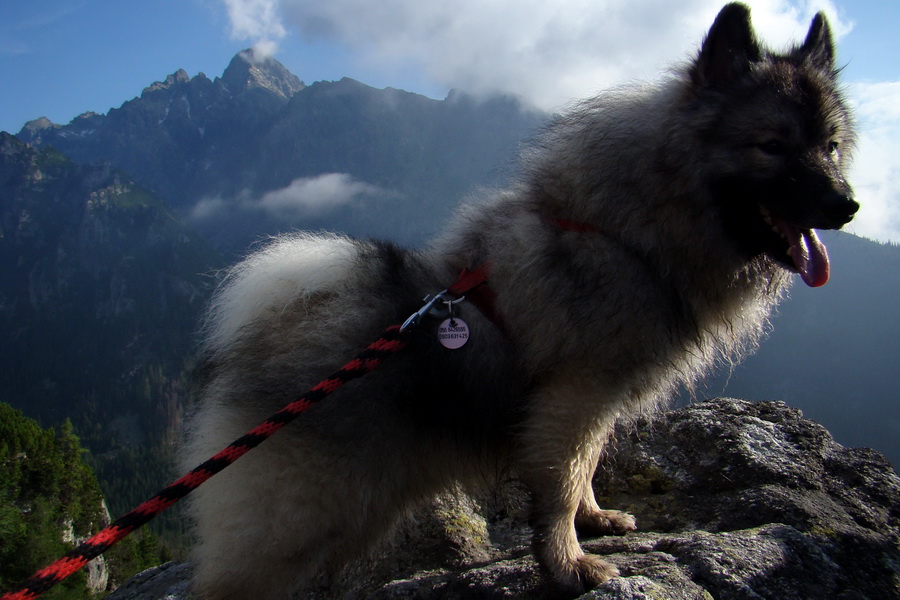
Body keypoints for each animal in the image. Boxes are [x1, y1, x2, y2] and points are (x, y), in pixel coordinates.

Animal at [181, 3, 856, 596]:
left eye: (830, 146)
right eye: (772, 145)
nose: (848, 205)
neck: (627, 233)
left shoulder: (590, 403)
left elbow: (584, 471)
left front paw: (595, 520)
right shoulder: (577, 392)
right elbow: (560, 484)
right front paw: (568, 564)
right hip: (291, 523)